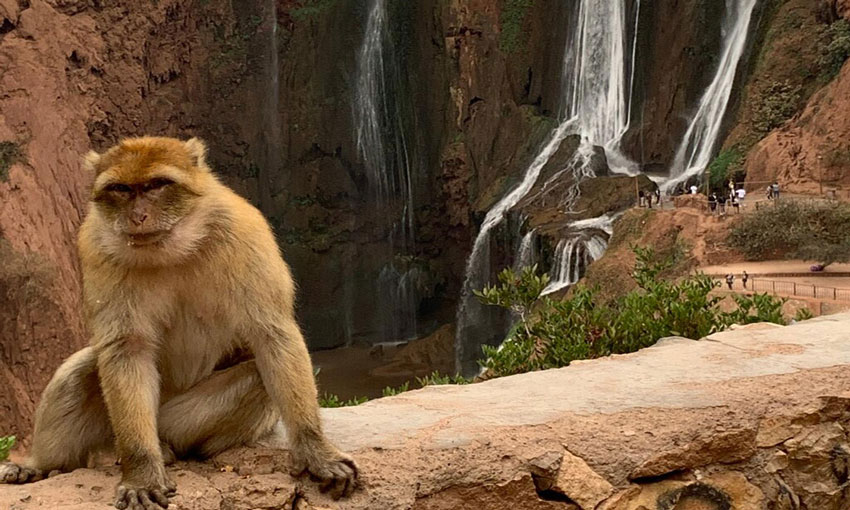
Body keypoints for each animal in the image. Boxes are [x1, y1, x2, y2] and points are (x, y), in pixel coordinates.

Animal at [0, 137, 358, 509]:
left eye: (158, 185)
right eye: (121, 189)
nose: (138, 216)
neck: (174, 248)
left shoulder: (245, 234)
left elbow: (271, 335)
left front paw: (315, 450)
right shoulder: (95, 246)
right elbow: (126, 349)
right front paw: (142, 470)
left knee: (257, 376)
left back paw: (170, 447)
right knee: (81, 370)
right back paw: (43, 464)